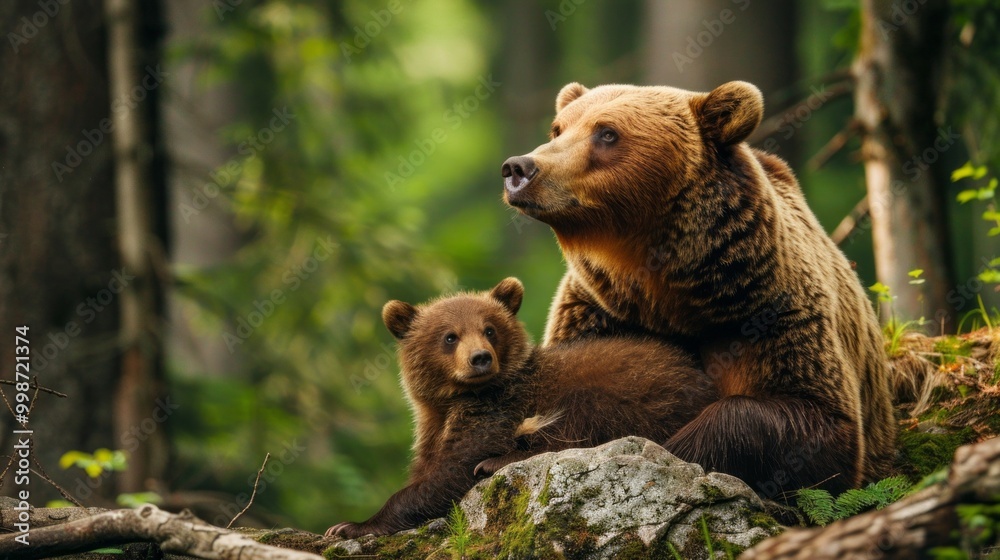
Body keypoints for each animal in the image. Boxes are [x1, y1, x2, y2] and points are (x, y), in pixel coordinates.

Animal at [325, 277, 717, 538]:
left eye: (489, 329)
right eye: (449, 336)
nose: (480, 358)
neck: (457, 399)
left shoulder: (499, 408)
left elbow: (453, 469)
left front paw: (350, 525)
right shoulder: (433, 424)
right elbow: (429, 465)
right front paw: (346, 524)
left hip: (637, 389)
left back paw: (498, 462)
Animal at [500, 81, 895, 499]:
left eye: (606, 133)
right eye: (558, 128)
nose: (519, 168)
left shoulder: (770, 315)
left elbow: (819, 425)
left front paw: (672, 451)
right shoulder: (595, 315)